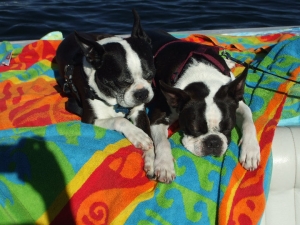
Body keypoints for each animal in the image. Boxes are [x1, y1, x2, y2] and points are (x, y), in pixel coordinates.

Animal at [143, 29, 260, 184]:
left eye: (228, 128)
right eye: (194, 129)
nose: (213, 142)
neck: (203, 76)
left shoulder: (240, 104)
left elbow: (249, 122)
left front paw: (251, 150)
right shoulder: (158, 116)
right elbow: (163, 142)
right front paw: (164, 165)